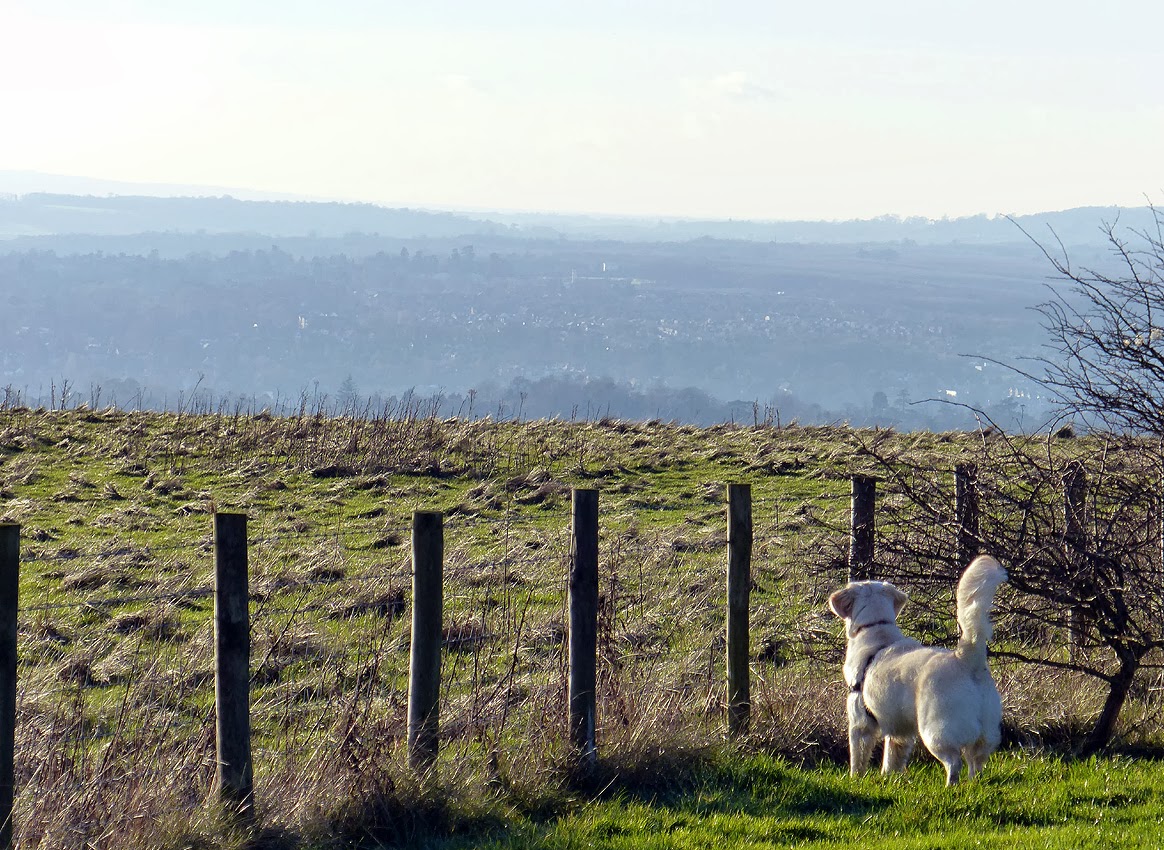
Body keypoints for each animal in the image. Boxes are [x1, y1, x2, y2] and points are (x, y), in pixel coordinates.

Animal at [828, 551, 1010, 782]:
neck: (876, 628)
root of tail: (967, 659)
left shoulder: (860, 722)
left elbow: (858, 757)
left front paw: (855, 779)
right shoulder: (900, 732)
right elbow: (892, 758)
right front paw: (889, 778)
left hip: (936, 731)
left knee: (954, 762)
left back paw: (950, 785)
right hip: (985, 734)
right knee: (975, 765)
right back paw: (971, 785)